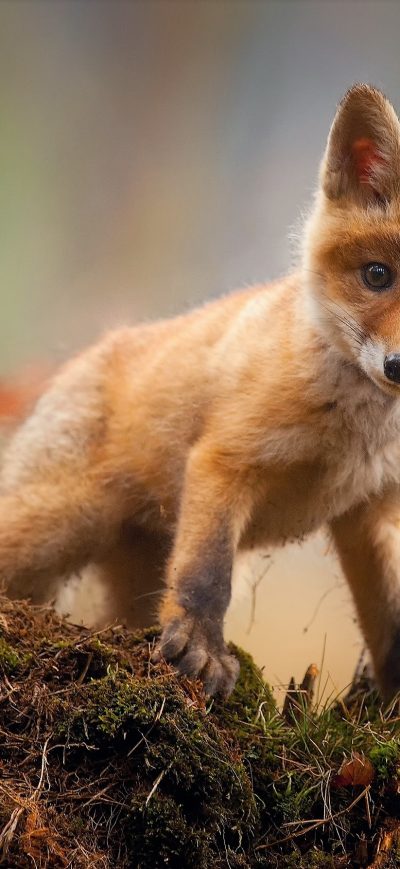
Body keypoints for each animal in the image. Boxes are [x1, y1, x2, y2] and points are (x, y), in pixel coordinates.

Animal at [2, 83, 400, 699]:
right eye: (377, 275)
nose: (399, 366)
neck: (357, 435)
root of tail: (85, 355)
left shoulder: (370, 510)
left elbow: (391, 621)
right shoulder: (226, 459)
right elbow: (207, 574)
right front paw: (200, 650)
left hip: (127, 574)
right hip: (59, 523)